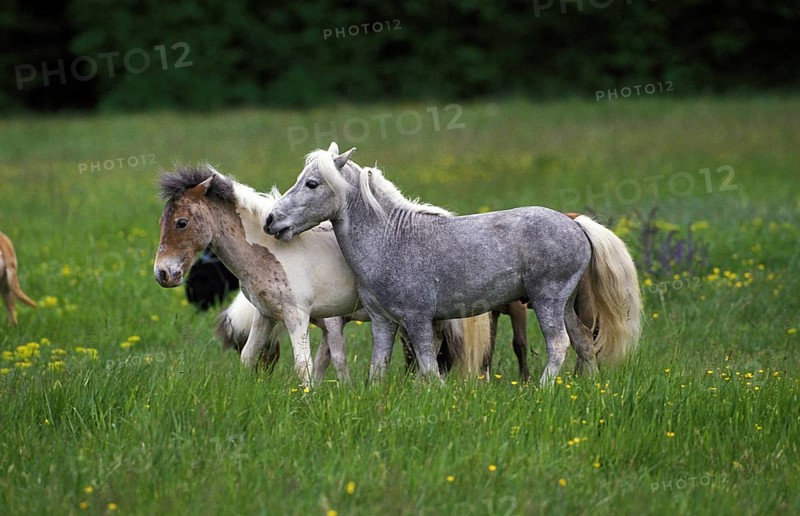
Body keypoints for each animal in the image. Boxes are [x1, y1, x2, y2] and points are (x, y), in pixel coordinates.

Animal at [153, 165, 489, 386]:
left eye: (181, 223)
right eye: (162, 221)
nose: (163, 274)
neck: (271, 250)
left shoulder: (302, 317)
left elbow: (309, 364)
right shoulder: (268, 315)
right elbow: (252, 357)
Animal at [264, 143, 642, 384]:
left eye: (312, 183)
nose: (270, 221)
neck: (389, 239)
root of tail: (575, 224)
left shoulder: (417, 320)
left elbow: (430, 369)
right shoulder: (383, 322)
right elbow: (378, 370)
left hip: (548, 300)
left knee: (560, 345)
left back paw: (544, 391)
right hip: (564, 304)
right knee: (583, 343)